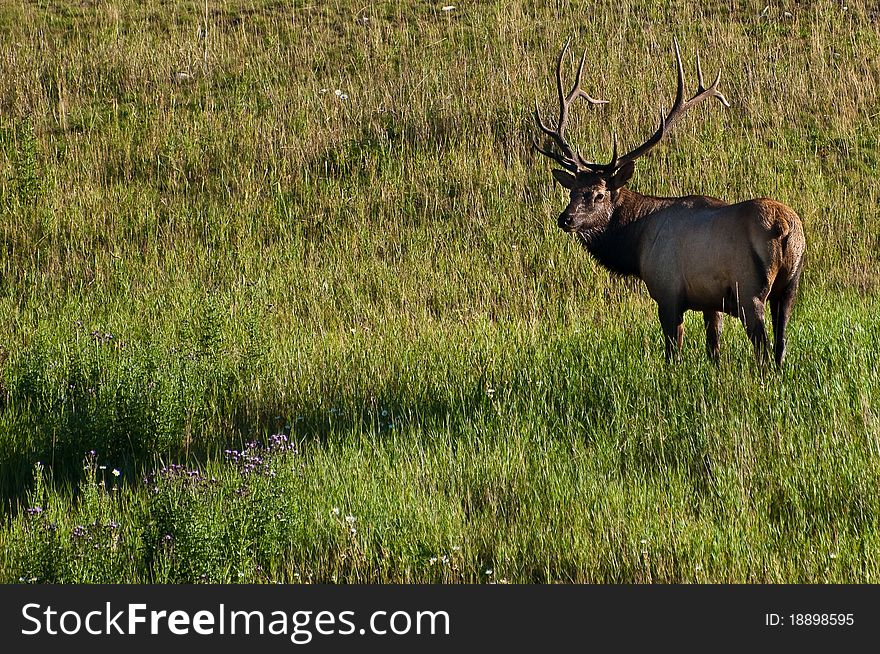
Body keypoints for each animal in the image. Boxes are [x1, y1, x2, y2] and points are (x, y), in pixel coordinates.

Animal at [532, 39, 808, 368]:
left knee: (764, 348)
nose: (566, 219)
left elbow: (672, 352)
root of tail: (785, 227)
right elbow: (714, 348)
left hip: (749, 289)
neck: (636, 244)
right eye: (572, 192)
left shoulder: (667, 292)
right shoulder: (710, 300)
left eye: (599, 194)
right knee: (781, 346)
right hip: (790, 286)